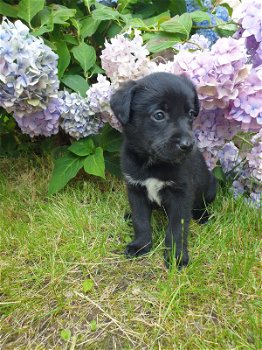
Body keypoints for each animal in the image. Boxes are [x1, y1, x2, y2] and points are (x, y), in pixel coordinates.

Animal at [109, 72, 216, 268]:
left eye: (191, 114)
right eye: (159, 115)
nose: (187, 145)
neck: (154, 163)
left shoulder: (182, 194)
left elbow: (177, 228)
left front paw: (177, 256)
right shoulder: (135, 189)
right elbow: (140, 220)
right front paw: (141, 245)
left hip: (211, 186)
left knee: (202, 203)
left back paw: (202, 215)